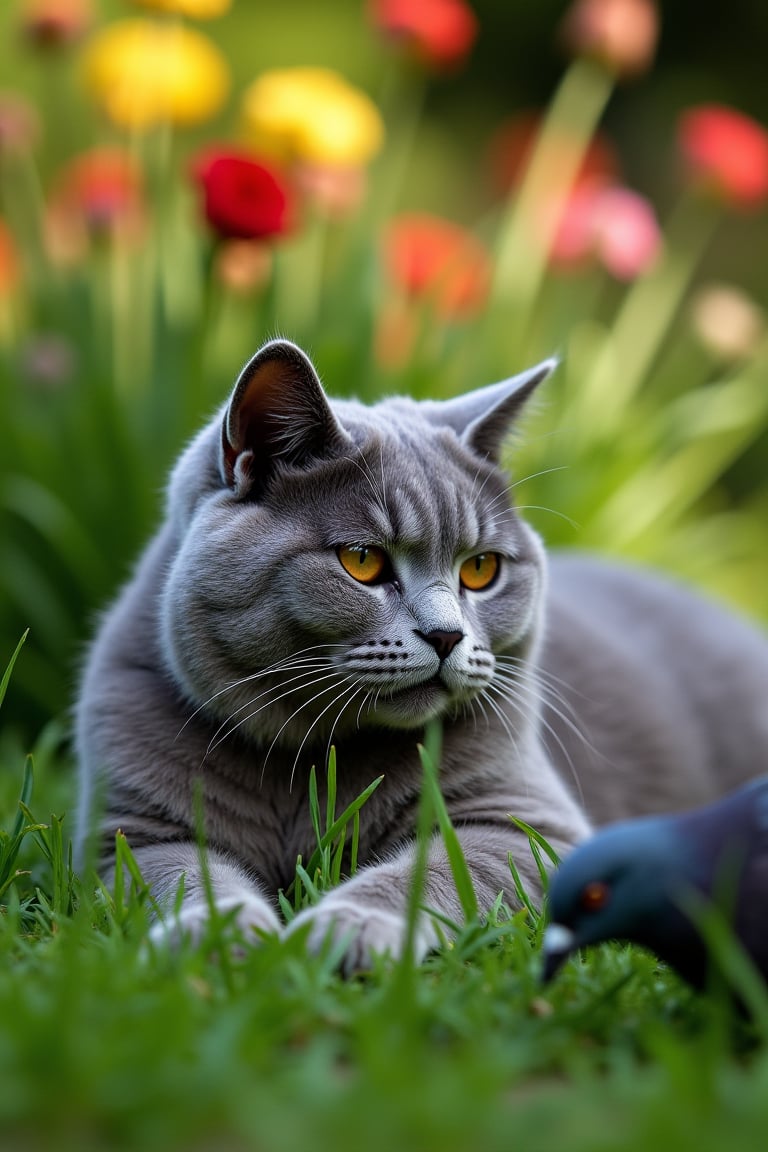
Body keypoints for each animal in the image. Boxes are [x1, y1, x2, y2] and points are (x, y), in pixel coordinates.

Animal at [74, 336, 768, 967]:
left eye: (482, 569)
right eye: (362, 560)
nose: (446, 635)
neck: (311, 762)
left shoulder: (525, 823)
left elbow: (425, 872)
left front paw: (348, 928)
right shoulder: (130, 835)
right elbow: (183, 879)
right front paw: (215, 938)